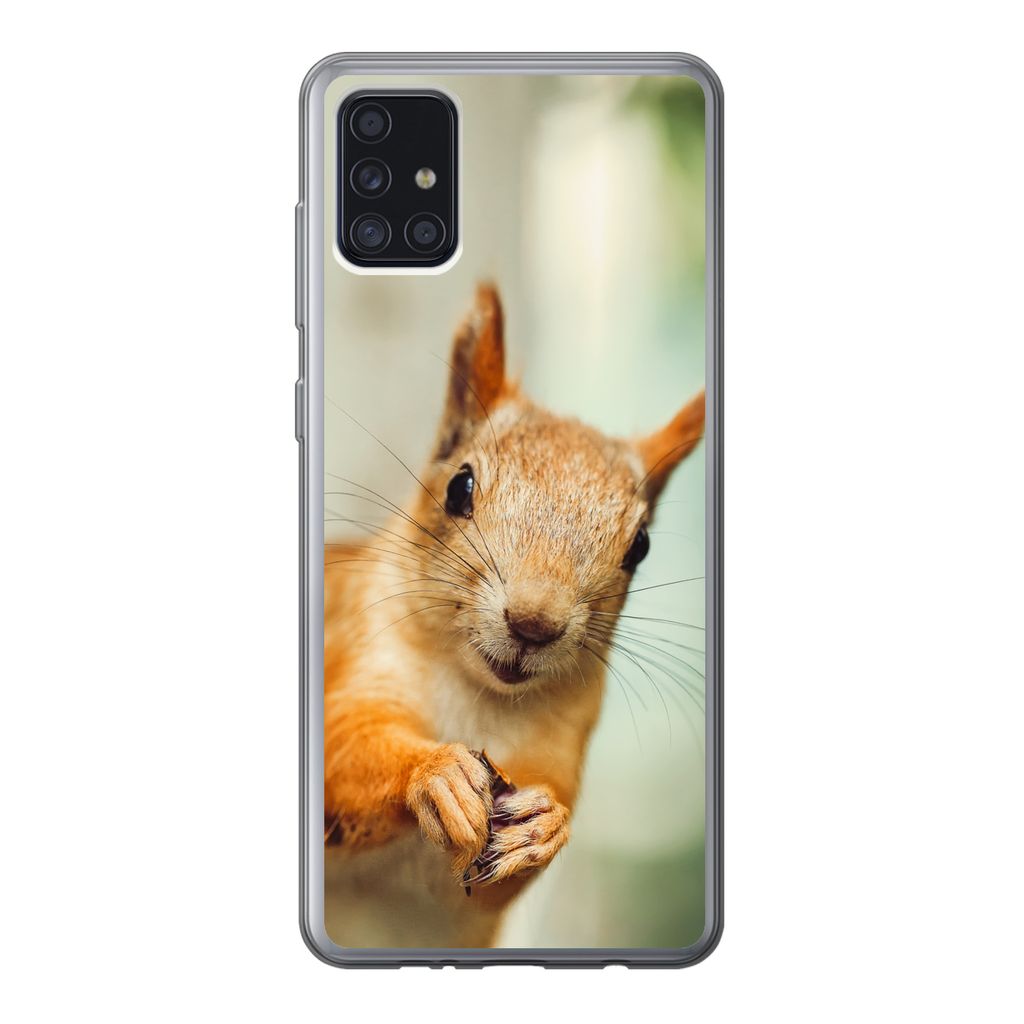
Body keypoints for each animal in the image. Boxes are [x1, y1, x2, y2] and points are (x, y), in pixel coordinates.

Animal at [323, 284, 705, 948]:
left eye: (640, 547)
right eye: (459, 487)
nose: (534, 624)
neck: (478, 699)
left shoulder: (556, 750)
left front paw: (544, 826)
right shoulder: (353, 647)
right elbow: (340, 750)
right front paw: (435, 772)